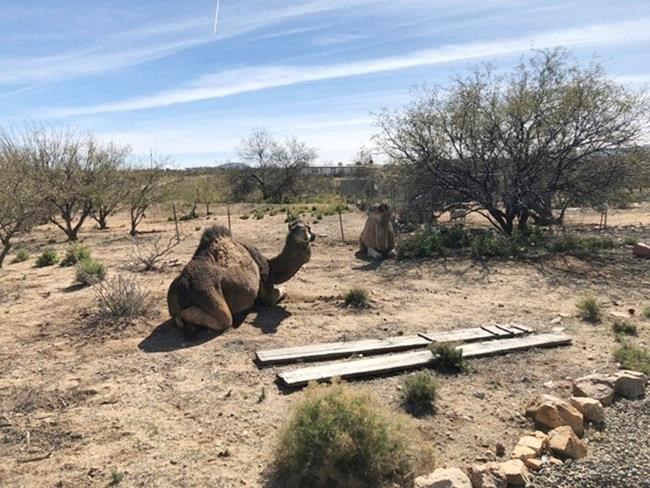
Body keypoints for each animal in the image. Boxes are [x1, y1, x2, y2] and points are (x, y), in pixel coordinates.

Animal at [167, 221, 315, 332]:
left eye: (308, 227)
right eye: (303, 230)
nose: (312, 235)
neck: (271, 266)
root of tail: (181, 288)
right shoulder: (267, 289)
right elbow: (281, 292)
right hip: (208, 295)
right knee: (224, 319)